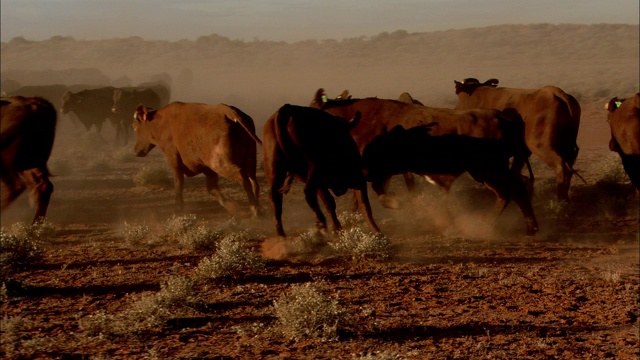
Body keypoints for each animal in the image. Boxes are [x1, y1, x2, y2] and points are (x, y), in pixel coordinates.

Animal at [132, 101, 262, 217]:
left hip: (219, 163)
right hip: (250, 160)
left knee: (242, 177)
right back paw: (258, 207)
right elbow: (212, 188)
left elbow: (179, 183)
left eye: (135, 128)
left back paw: (254, 209)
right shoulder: (207, 168)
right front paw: (232, 206)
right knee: (253, 181)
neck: (160, 122)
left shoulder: (173, 160)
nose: (135, 150)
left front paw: (178, 207)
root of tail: (229, 112)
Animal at [262, 104, 380, 236]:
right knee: (308, 193)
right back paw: (321, 223)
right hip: (314, 168)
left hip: (276, 171)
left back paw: (281, 234)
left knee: (276, 200)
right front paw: (376, 231)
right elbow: (364, 205)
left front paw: (337, 228)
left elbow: (329, 202)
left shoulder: (320, 184)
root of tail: (287, 109)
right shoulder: (357, 177)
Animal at [312, 89, 536, 236]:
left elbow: (369, 200)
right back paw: (527, 227)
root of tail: (502, 117)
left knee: (511, 192)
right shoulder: (378, 174)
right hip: (488, 171)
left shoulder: (366, 174)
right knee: (514, 190)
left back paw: (490, 225)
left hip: (489, 170)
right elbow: (374, 195)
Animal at [452, 77, 584, 201]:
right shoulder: (521, 152)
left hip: (539, 145)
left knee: (561, 167)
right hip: (566, 144)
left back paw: (561, 200)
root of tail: (552, 91)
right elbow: (515, 172)